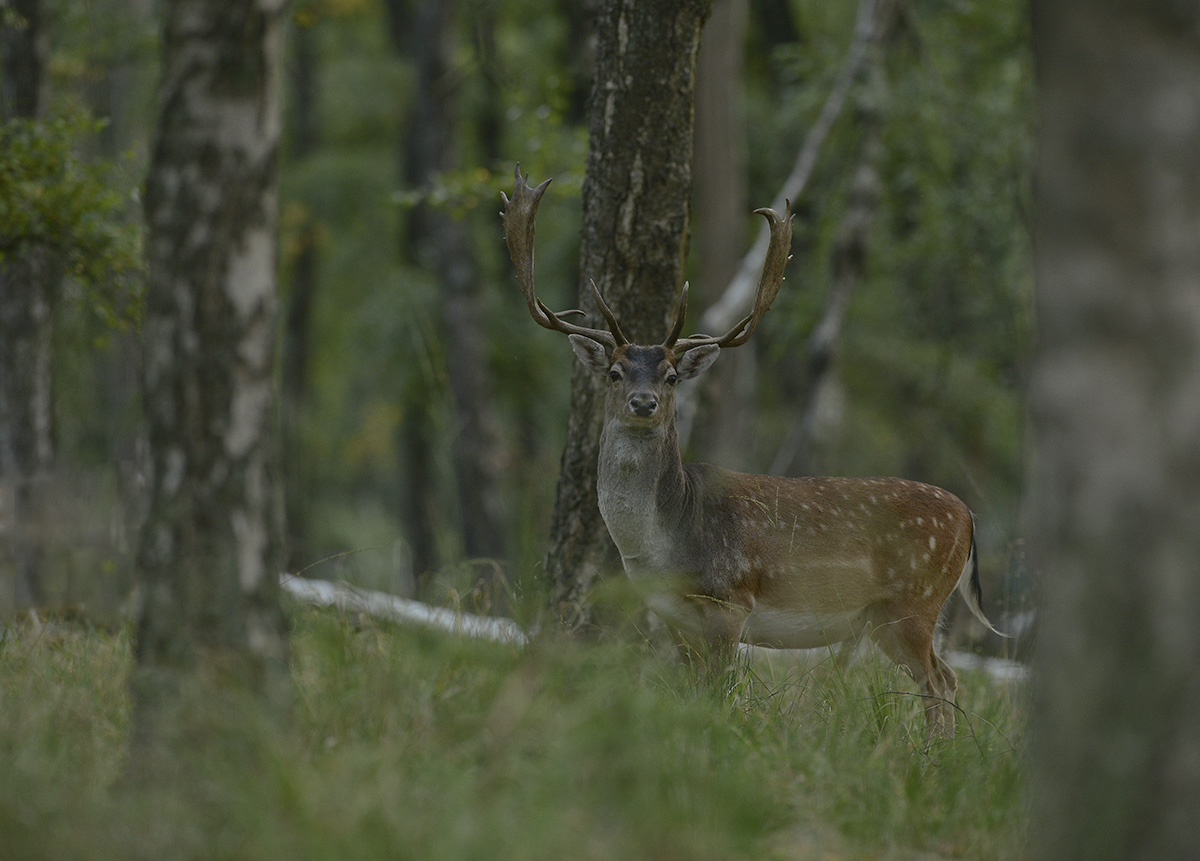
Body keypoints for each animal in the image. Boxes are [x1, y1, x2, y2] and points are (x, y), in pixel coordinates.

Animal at [501, 166, 1008, 743]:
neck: (663, 542)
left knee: (939, 680)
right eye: (614, 372)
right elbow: (692, 690)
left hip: (915, 598)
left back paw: (933, 756)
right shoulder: (673, 616)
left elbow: (720, 693)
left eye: (671, 376)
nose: (643, 402)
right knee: (945, 676)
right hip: (886, 617)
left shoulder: (730, 601)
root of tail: (969, 516)